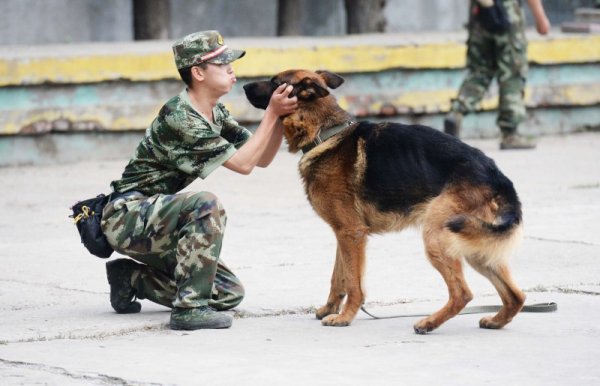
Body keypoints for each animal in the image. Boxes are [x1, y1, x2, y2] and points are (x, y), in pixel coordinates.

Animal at [244, 70, 524, 334]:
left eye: (274, 82)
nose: (243, 85)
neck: (325, 131)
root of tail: (498, 176)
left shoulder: (351, 233)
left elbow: (353, 283)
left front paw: (345, 317)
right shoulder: (344, 233)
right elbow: (339, 277)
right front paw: (330, 309)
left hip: (437, 236)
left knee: (462, 293)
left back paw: (429, 323)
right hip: (476, 247)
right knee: (516, 296)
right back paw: (496, 320)